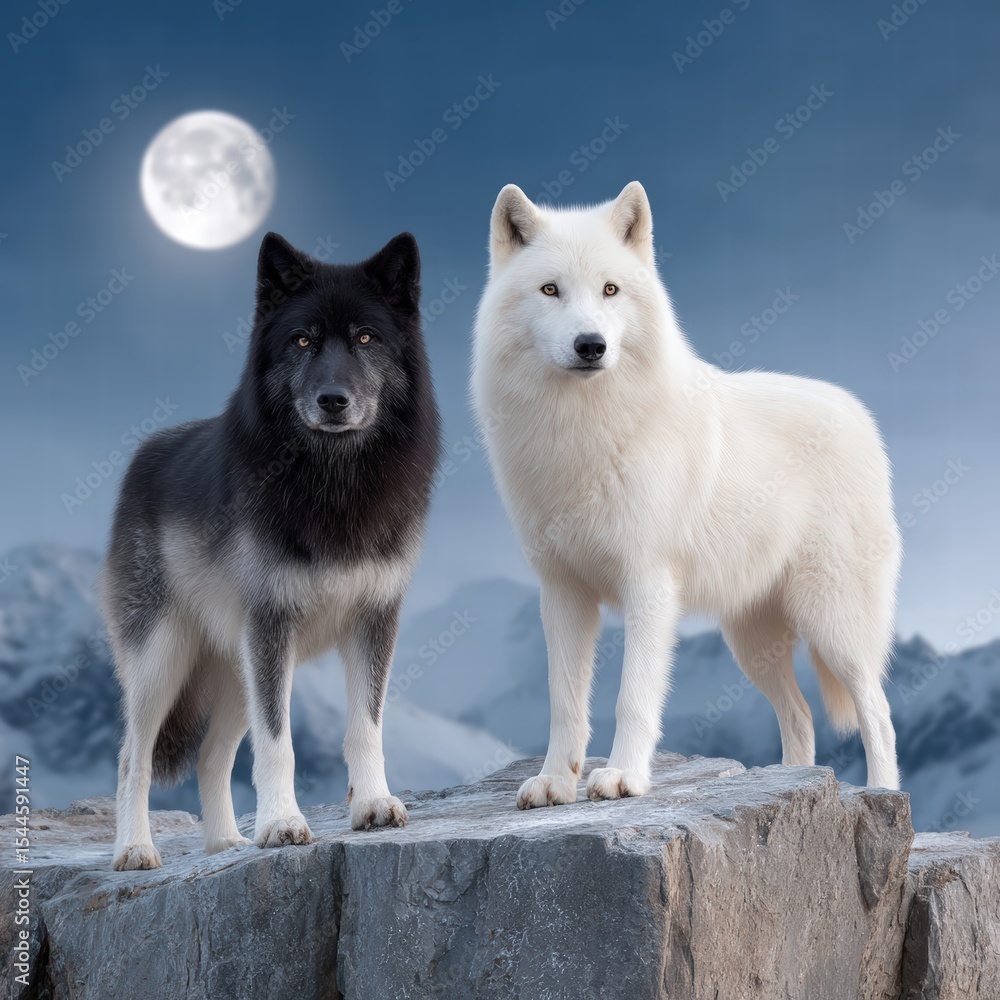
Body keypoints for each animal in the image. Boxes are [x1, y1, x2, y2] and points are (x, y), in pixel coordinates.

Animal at [106, 231, 440, 870]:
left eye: (366, 337)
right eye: (302, 340)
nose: (333, 399)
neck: (334, 483)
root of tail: (140, 457)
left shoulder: (374, 620)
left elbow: (365, 728)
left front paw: (372, 806)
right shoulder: (271, 624)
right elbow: (279, 745)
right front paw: (283, 824)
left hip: (235, 669)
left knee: (212, 755)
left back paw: (224, 843)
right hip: (164, 661)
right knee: (133, 756)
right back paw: (135, 849)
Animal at [472, 182, 900, 810]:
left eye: (610, 289)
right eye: (550, 290)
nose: (591, 345)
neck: (583, 432)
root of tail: (856, 412)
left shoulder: (649, 585)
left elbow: (632, 697)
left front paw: (622, 777)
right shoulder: (563, 591)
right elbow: (565, 704)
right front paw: (555, 782)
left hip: (833, 623)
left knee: (878, 712)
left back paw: (882, 794)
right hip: (751, 642)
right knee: (799, 716)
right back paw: (793, 784)